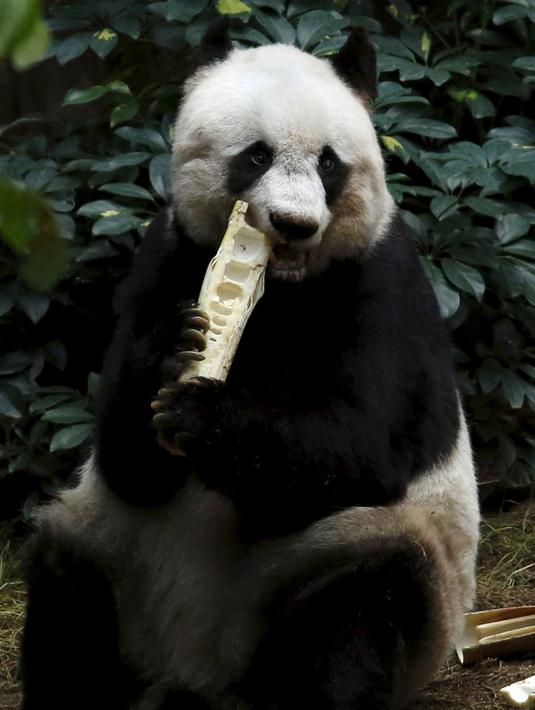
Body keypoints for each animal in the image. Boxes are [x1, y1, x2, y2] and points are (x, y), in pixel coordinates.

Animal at [20, 23, 480, 710]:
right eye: (256, 156)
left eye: (328, 162)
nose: (295, 223)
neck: (282, 290)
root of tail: (199, 674)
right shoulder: (167, 253)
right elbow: (126, 459)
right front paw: (175, 351)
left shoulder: (383, 283)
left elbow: (365, 445)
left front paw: (201, 416)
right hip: (119, 561)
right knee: (65, 582)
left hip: (329, 568)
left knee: (363, 597)